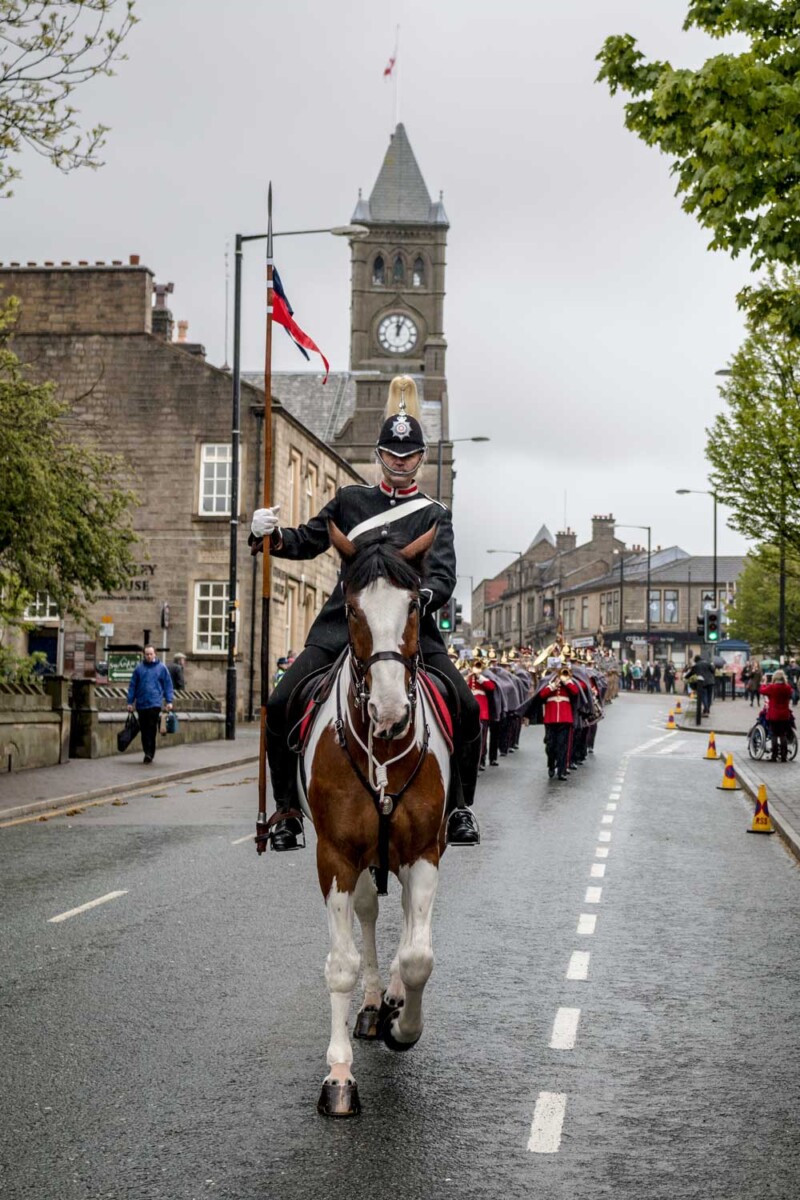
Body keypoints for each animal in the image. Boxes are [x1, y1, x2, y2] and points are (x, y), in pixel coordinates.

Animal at [298, 520, 453, 1118]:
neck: (383, 752)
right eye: (351, 609)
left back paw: (389, 999)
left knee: (408, 915)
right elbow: (340, 962)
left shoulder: (425, 850)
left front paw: (404, 1027)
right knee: (368, 913)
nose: (390, 714)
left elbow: (417, 956)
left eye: (414, 605)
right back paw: (368, 1004)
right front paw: (339, 1075)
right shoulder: (336, 856)